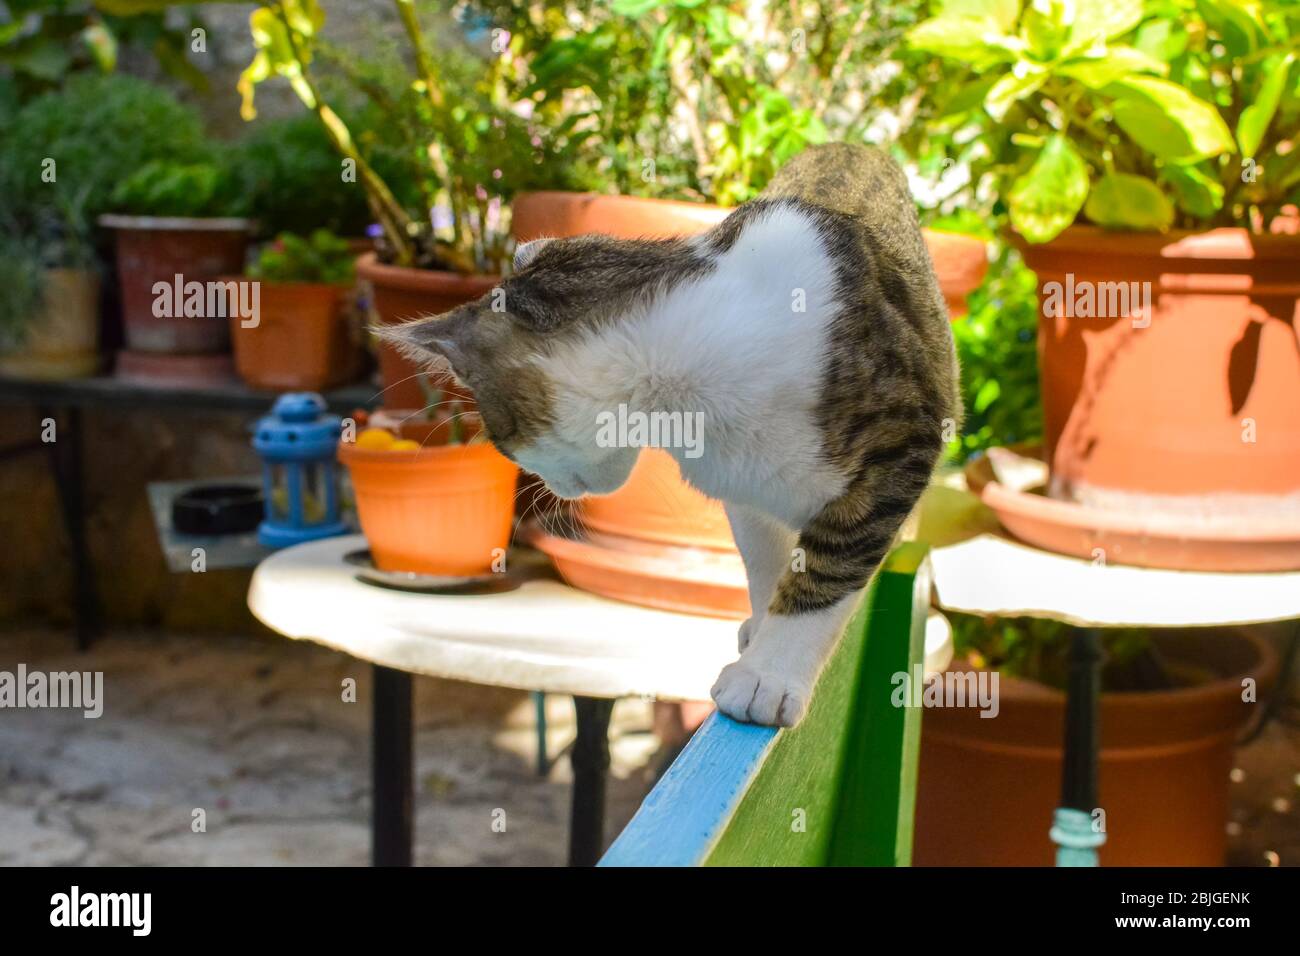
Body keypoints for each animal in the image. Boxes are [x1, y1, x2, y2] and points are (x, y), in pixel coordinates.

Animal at [379, 140, 961, 723]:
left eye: (501, 437)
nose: (542, 484)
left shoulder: (901, 446)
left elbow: (829, 568)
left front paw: (770, 673)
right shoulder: (744, 482)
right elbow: (764, 558)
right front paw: (763, 627)